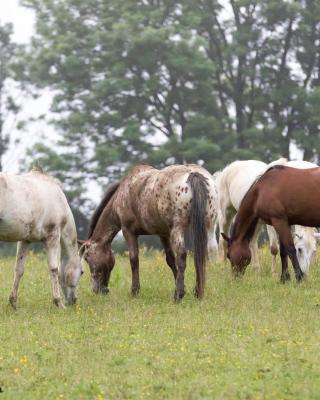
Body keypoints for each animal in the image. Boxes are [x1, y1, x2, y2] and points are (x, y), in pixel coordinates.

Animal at [0, 167, 82, 308]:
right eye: (82, 272)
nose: (73, 300)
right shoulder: (53, 236)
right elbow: (54, 269)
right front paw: (58, 302)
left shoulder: (25, 240)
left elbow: (19, 269)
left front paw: (13, 303)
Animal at [79, 163, 218, 300]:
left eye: (87, 257)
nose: (97, 290)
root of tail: (194, 174)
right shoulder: (164, 233)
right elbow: (170, 260)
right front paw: (183, 287)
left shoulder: (128, 231)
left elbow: (134, 260)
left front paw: (134, 291)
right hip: (209, 225)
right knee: (207, 252)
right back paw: (198, 292)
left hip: (178, 228)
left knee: (182, 255)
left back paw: (178, 295)